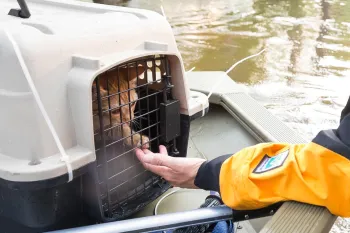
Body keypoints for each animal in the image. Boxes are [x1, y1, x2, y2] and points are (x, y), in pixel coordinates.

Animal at [0, 0, 208, 230]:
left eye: (133, 103)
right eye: (116, 110)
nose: (129, 118)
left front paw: (134, 135)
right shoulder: (100, 130)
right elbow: (117, 130)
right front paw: (133, 136)